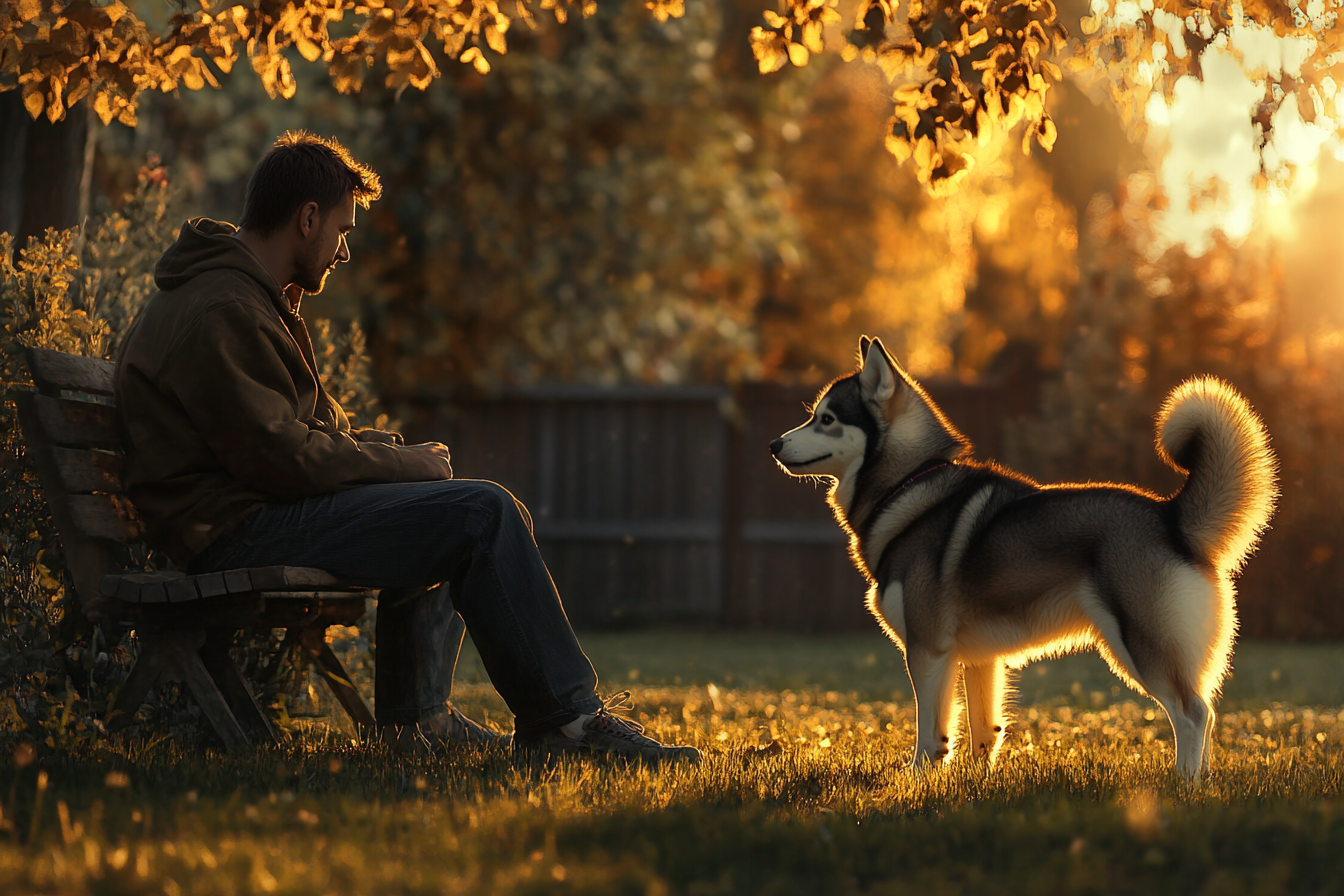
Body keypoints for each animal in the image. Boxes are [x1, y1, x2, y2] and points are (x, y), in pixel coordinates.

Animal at [774, 335, 1274, 779]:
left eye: (826, 418)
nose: (775, 445)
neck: (907, 485)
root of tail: (1171, 515)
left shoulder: (927, 649)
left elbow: (930, 733)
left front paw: (916, 779)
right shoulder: (980, 659)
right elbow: (984, 733)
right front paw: (975, 781)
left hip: (1143, 646)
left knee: (1193, 713)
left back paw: (1183, 782)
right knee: (1206, 712)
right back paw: (1202, 781)